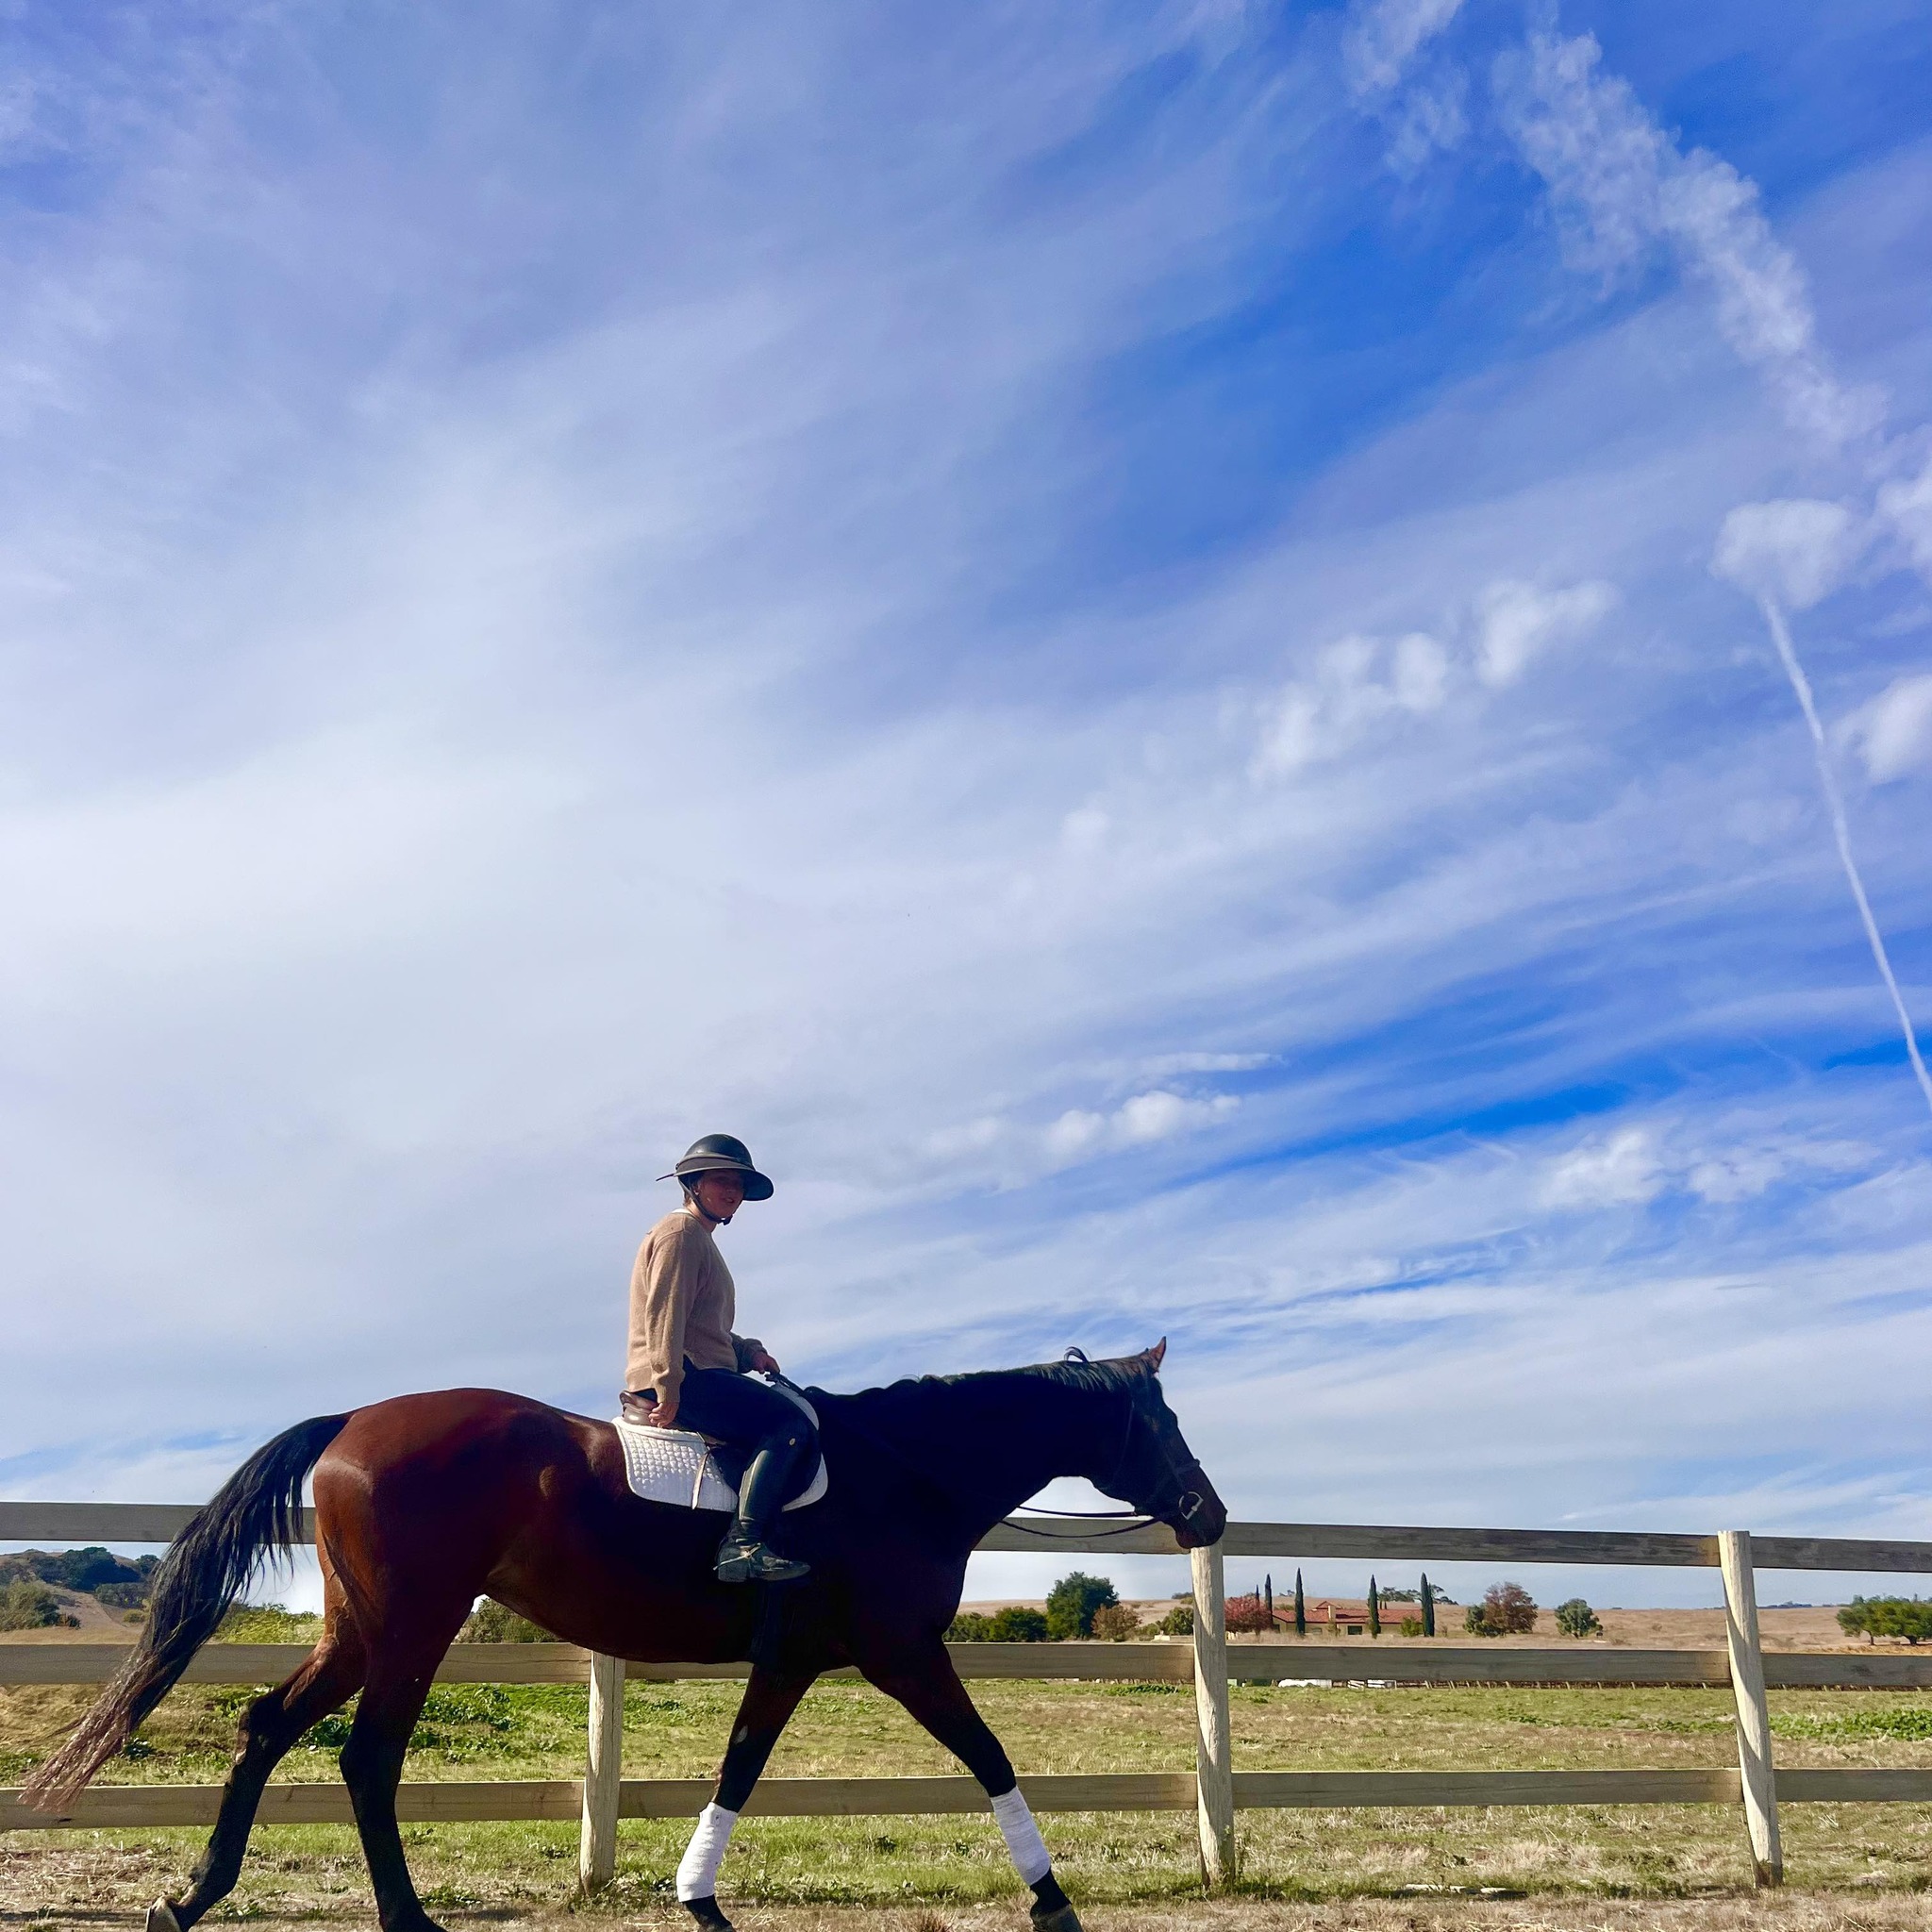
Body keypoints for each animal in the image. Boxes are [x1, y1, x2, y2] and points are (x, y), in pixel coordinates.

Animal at [26, 1342, 1225, 1932]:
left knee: (268, 1725)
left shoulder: (790, 1660)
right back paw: (406, 1918)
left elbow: (739, 1767)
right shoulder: (900, 1652)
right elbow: (988, 1755)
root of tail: (354, 1420)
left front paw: (699, 1898)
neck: (904, 1472)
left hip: (360, 1628)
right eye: (1160, 1419)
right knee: (367, 1757)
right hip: (412, 1626)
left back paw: (190, 1897)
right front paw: (1053, 1900)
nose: (1206, 1513)